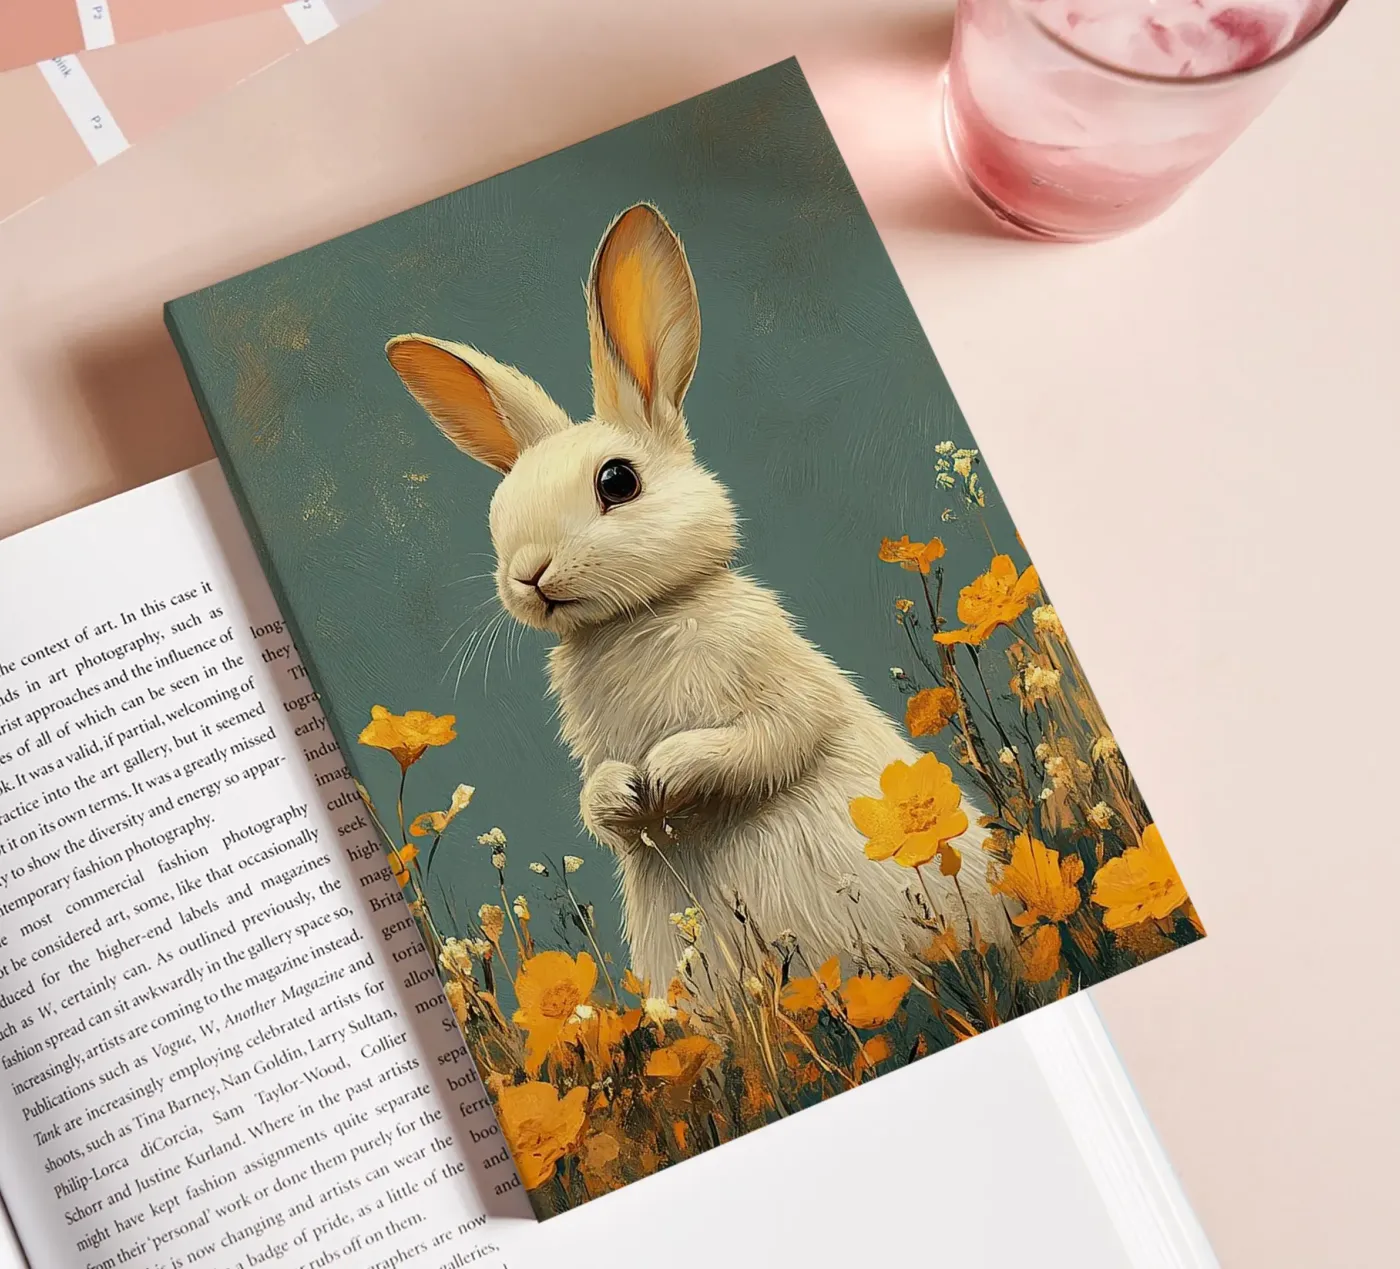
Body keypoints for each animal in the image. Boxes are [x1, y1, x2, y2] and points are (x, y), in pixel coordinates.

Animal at [387, 203, 1010, 997]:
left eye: (618, 481)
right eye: (499, 512)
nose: (528, 574)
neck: (635, 620)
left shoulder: (776, 682)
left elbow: (771, 739)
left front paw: (667, 772)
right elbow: (598, 802)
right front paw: (622, 794)